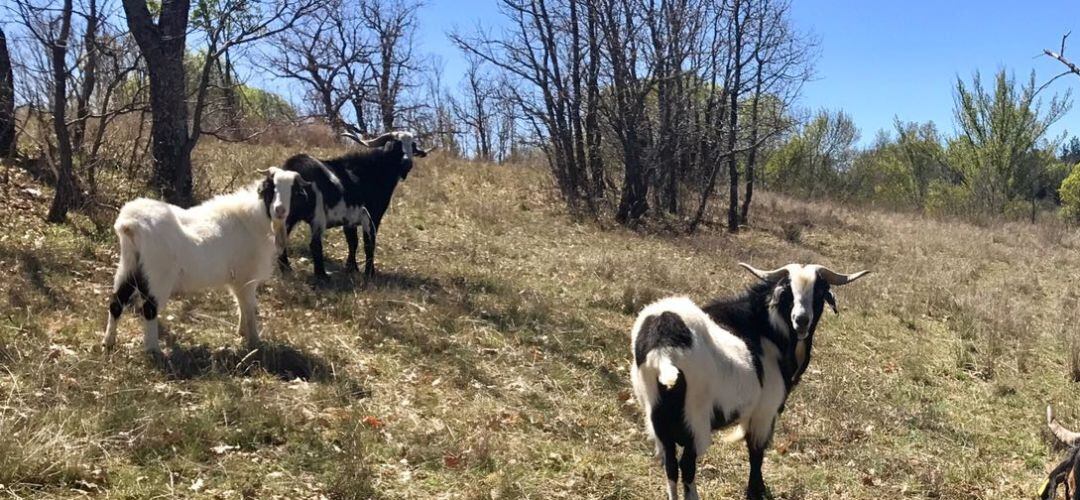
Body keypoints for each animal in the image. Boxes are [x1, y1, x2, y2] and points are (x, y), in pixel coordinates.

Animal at [102, 168, 308, 352]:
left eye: (294, 191)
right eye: (272, 188)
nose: (280, 210)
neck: (253, 219)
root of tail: (130, 224)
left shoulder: (237, 281)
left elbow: (241, 304)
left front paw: (241, 332)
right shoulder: (246, 278)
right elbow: (250, 308)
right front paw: (255, 342)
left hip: (128, 266)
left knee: (116, 303)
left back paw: (108, 343)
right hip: (158, 276)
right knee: (149, 309)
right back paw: (153, 349)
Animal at [276, 129, 432, 278]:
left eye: (412, 146)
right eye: (397, 144)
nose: (407, 163)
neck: (370, 172)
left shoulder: (349, 220)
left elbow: (352, 241)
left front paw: (352, 268)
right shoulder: (372, 216)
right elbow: (369, 243)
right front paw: (369, 273)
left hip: (288, 216)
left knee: (281, 240)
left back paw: (287, 270)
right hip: (317, 216)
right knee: (314, 244)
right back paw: (322, 276)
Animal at [630, 264, 868, 498]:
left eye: (819, 292)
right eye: (788, 292)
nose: (801, 321)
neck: (768, 331)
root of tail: (663, 348)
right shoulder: (764, 411)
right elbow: (756, 453)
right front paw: (756, 490)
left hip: (657, 419)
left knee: (670, 466)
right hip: (695, 418)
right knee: (687, 466)